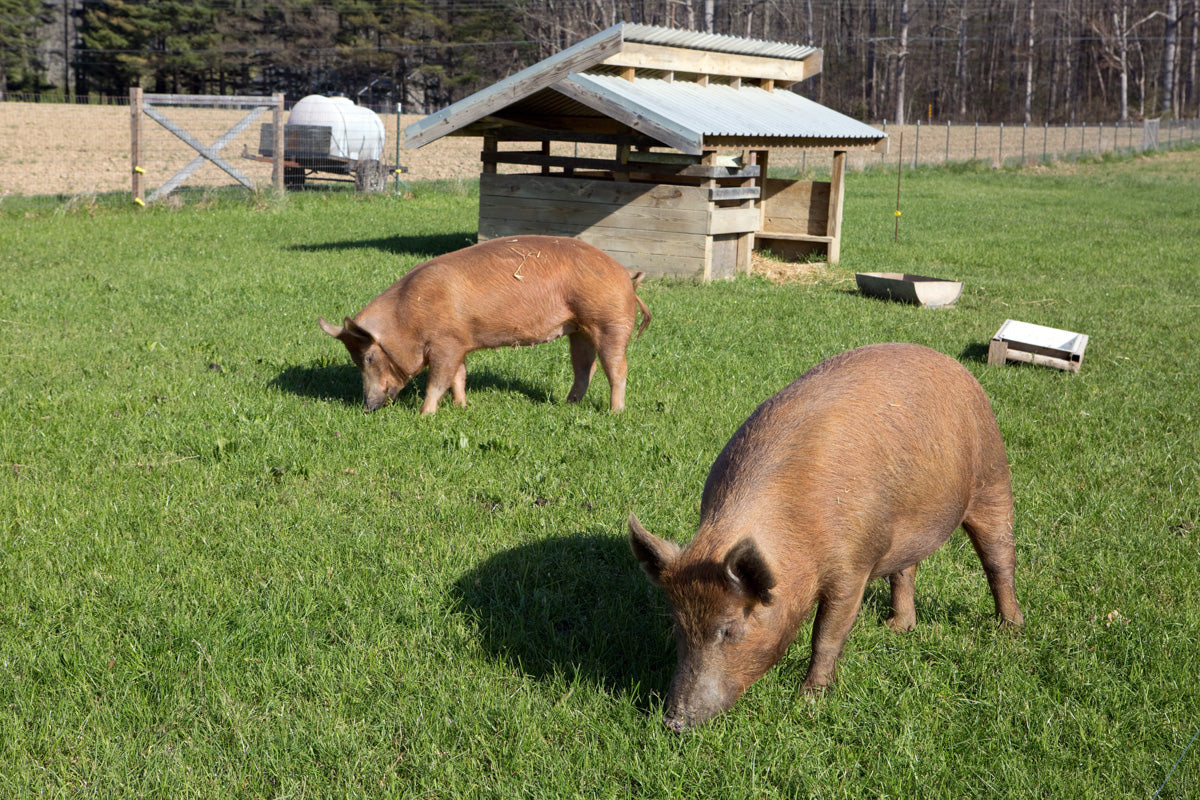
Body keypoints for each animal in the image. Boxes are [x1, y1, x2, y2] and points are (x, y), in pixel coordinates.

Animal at [321, 235, 648, 417]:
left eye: (368, 357)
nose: (367, 408)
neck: (408, 319)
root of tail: (626, 275)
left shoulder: (445, 344)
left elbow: (437, 381)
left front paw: (424, 416)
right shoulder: (460, 343)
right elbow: (458, 377)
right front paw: (461, 408)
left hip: (609, 322)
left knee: (617, 368)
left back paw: (615, 413)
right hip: (579, 329)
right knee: (584, 368)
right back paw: (568, 405)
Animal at [628, 345, 1022, 734]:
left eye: (729, 629)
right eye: (677, 626)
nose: (673, 721)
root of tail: (954, 365)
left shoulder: (853, 566)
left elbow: (827, 633)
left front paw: (808, 701)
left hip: (992, 475)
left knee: (998, 560)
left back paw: (1009, 630)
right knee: (904, 570)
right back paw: (896, 629)